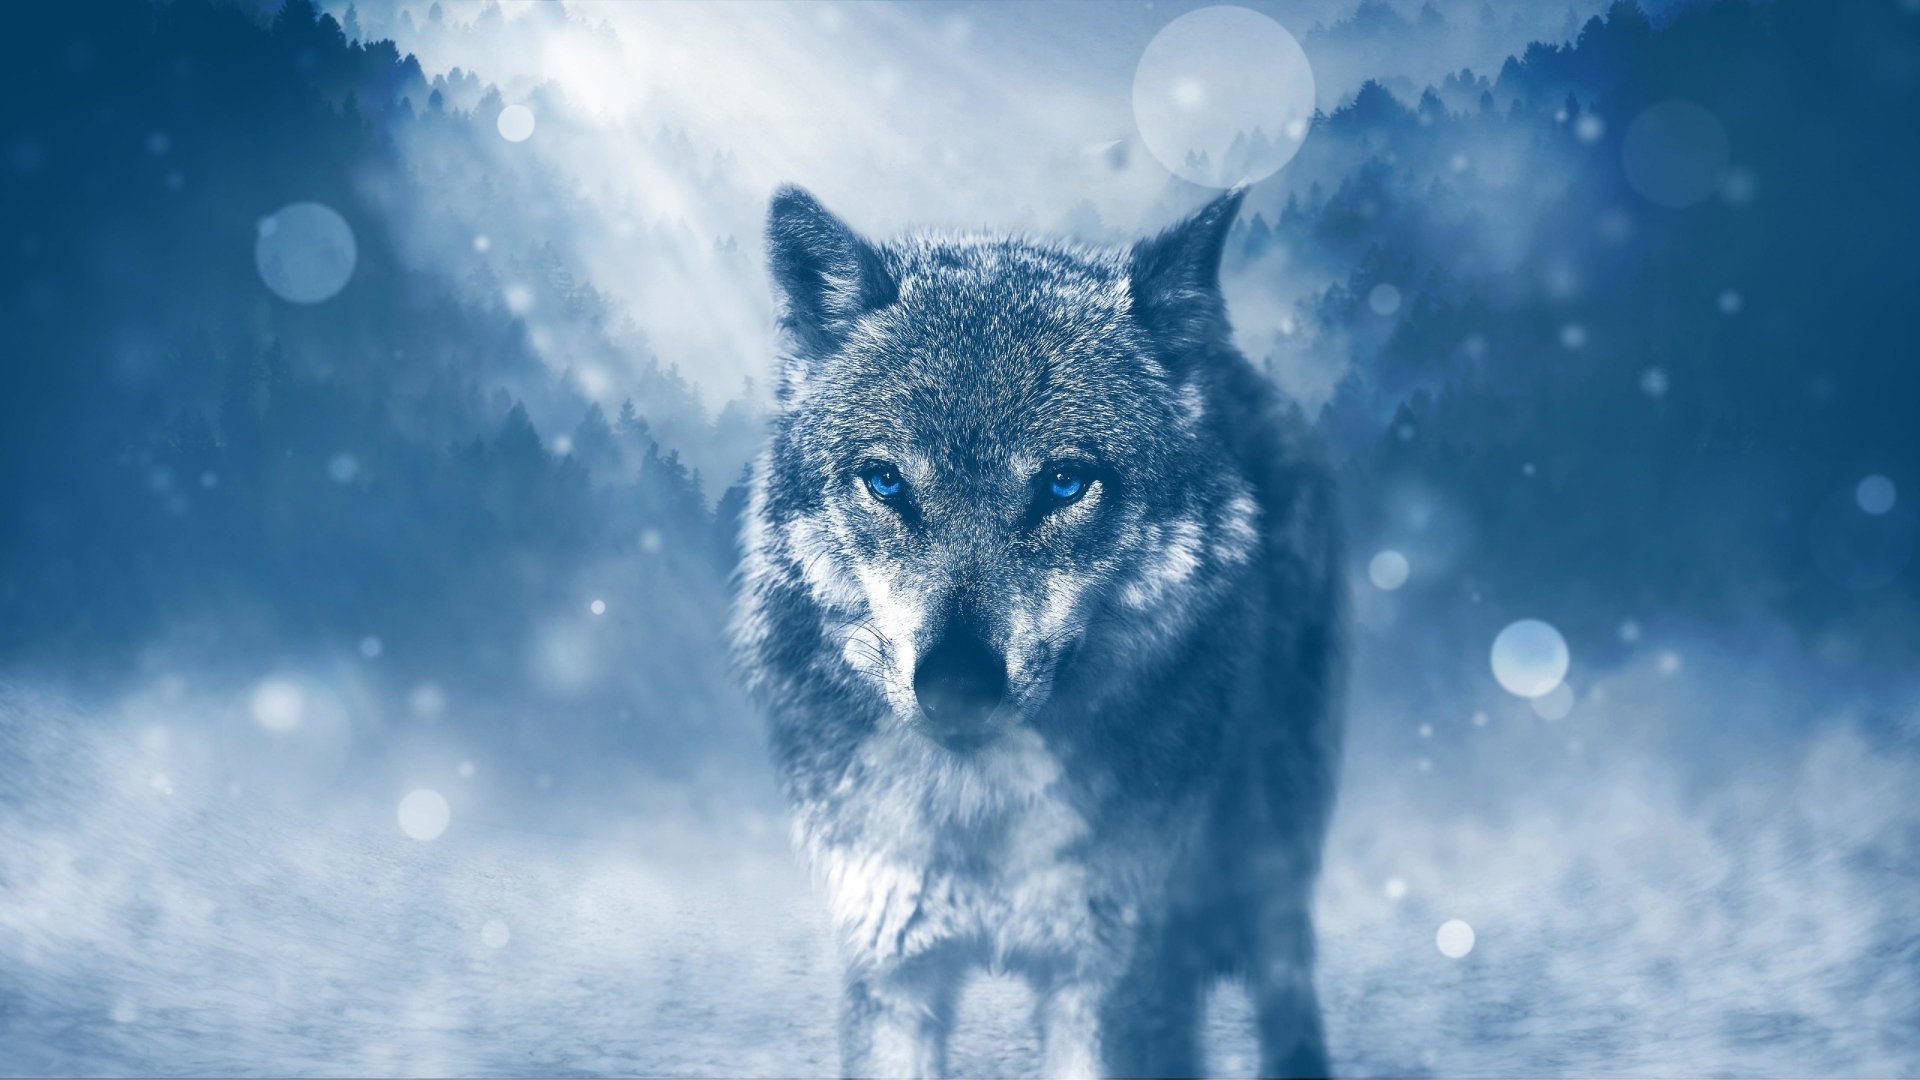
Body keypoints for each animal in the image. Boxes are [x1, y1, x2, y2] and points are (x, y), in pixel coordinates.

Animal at [730, 183, 1345, 1079]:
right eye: (886, 481)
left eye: (1063, 483)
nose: (956, 685)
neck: (980, 814)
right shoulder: (893, 967)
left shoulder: (1111, 978)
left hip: (1269, 850)